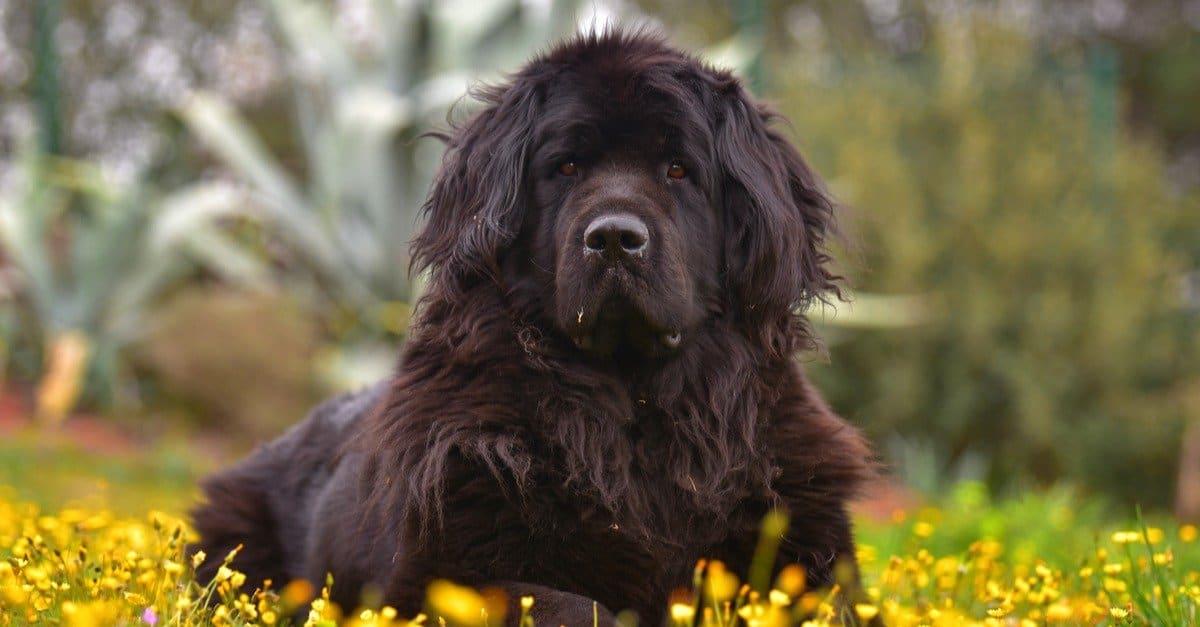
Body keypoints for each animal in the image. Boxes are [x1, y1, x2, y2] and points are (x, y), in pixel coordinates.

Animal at [192, 30, 878, 624]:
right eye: (567, 167)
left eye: (679, 170)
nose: (614, 237)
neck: (635, 411)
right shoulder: (436, 571)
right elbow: (575, 606)